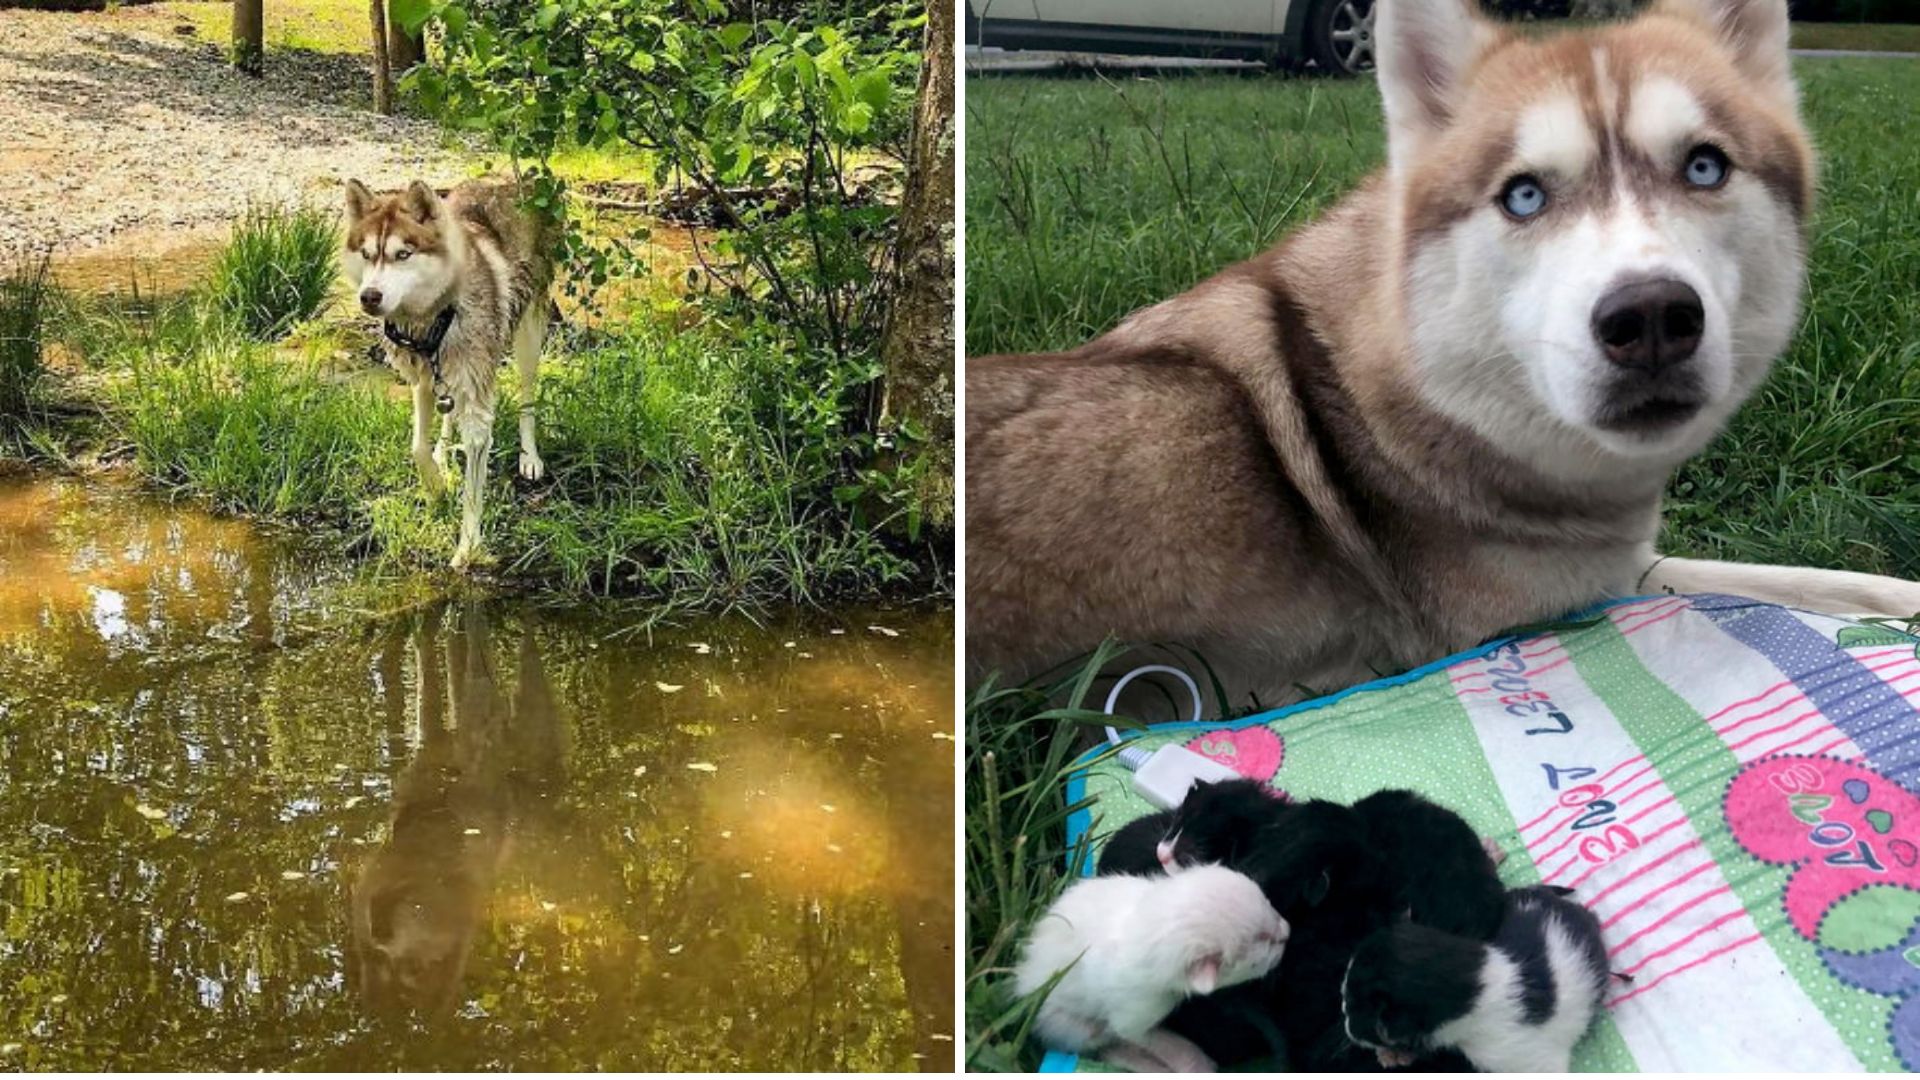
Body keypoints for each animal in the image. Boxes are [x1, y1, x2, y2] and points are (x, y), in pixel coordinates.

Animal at [343, 178, 556, 564]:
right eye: (366, 254)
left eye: (403, 254)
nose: (369, 296)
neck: (435, 316)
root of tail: (514, 181)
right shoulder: (421, 378)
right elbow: (417, 446)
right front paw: (436, 485)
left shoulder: (477, 410)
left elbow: (473, 485)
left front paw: (468, 547)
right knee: (446, 413)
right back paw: (443, 453)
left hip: (529, 334)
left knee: (527, 397)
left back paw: (529, 457)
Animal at [967, 0, 1920, 703]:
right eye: (1524, 195)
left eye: (1705, 167)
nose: (1650, 315)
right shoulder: (1544, 610)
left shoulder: (1624, 567)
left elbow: (1814, 580)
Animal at [1006, 860, 1290, 1060]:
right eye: (1262, 941)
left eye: (1268, 902)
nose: (1288, 931)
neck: (1151, 925)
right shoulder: (1136, 1013)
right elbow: (1140, 1036)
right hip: (1070, 1025)